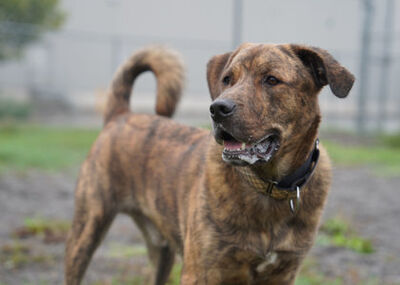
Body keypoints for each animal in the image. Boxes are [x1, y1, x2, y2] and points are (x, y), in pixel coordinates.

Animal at [65, 42, 354, 284]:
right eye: (227, 79)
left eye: (272, 80)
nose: (218, 109)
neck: (266, 187)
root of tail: (121, 115)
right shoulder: (201, 273)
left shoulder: (282, 274)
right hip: (86, 231)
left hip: (162, 251)